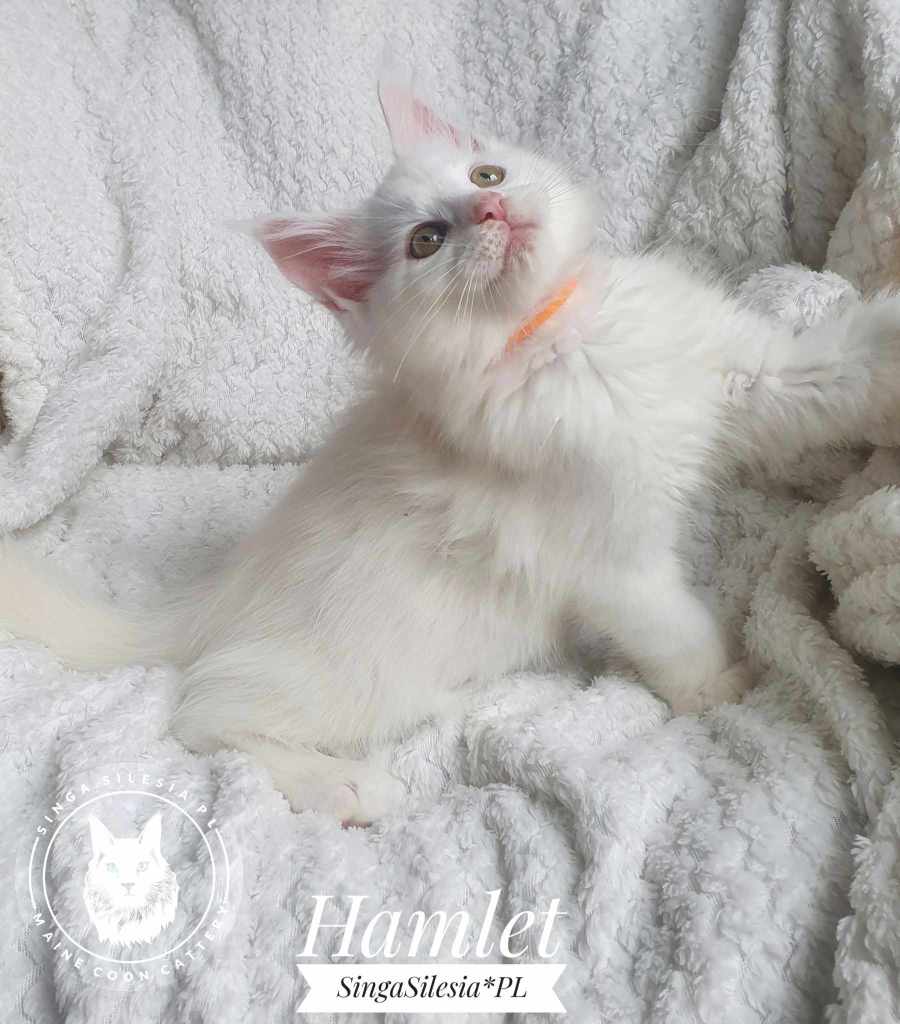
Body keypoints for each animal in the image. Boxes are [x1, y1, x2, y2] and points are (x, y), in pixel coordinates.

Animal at [2, 81, 900, 823]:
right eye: (428, 241)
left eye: (487, 175)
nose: (490, 214)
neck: (569, 338)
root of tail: (211, 599)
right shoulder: (610, 560)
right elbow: (676, 631)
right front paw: (720, 688)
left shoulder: (755, 374)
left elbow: (848, 365)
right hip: (356, 675)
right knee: (202, 715)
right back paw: (344, 786)